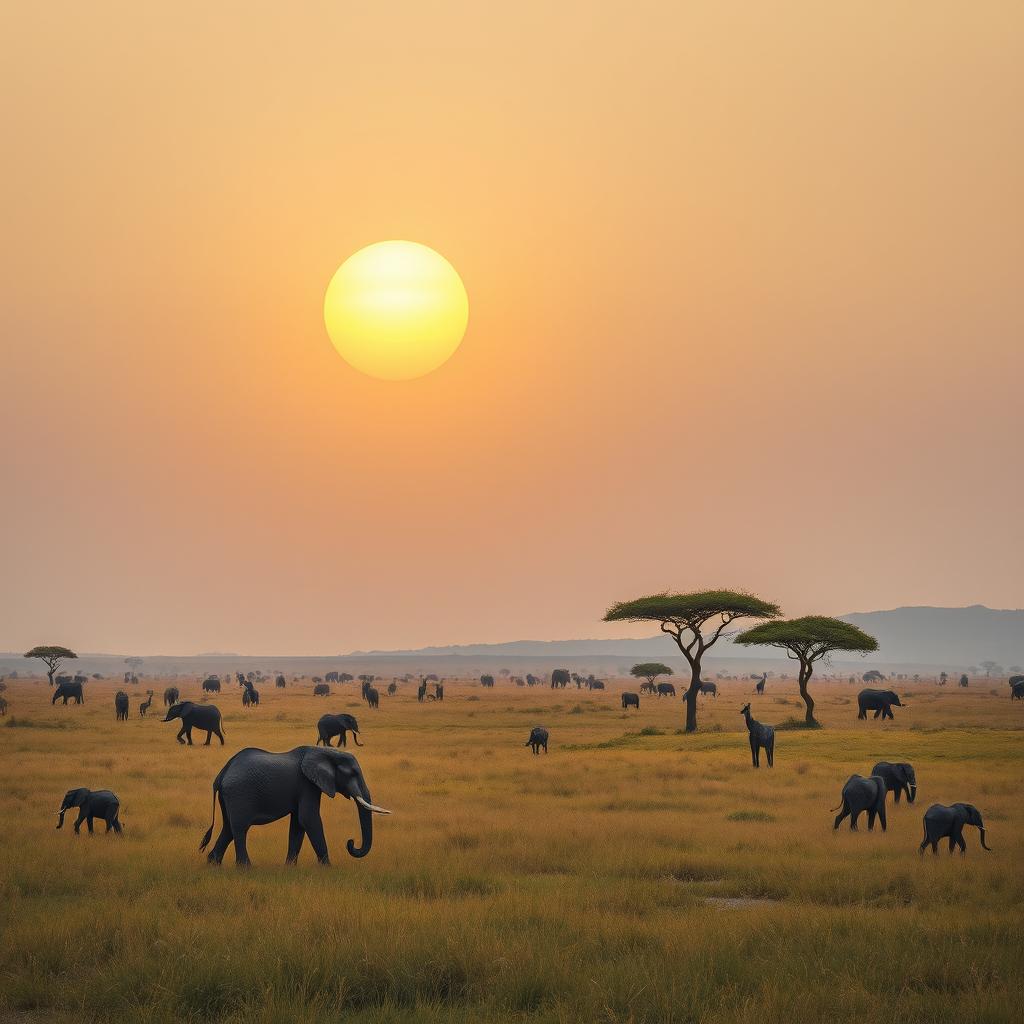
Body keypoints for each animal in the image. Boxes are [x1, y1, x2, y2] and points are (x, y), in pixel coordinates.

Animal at [197, 745, 389, 864]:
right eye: (352, 773)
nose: (351, 842)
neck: (325, 751)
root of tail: (222, 773)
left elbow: (298, 824)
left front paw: (289, 867)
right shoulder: (307, 784)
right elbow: (309, 819)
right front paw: (328, 867)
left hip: (229, 796)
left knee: (228, 828)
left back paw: (213, 864)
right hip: (239, 794)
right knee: (239, 828)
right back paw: (245, 868)